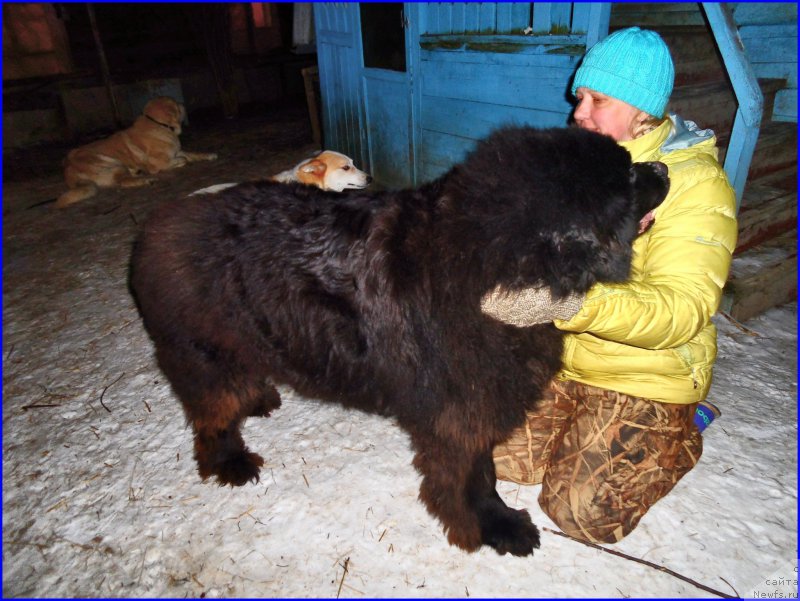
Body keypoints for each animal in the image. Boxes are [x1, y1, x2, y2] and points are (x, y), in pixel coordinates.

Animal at [57, 96, 217, 209]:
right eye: (176, 104)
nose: (182, 103)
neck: (157, 124)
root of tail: (67, 169)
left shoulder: (177, 150)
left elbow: (192, 153)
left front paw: (206, 155)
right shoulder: (158, 163)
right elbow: (183, 158)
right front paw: (182, 162)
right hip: (113, 162)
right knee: (122, 182)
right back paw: (145, 179)